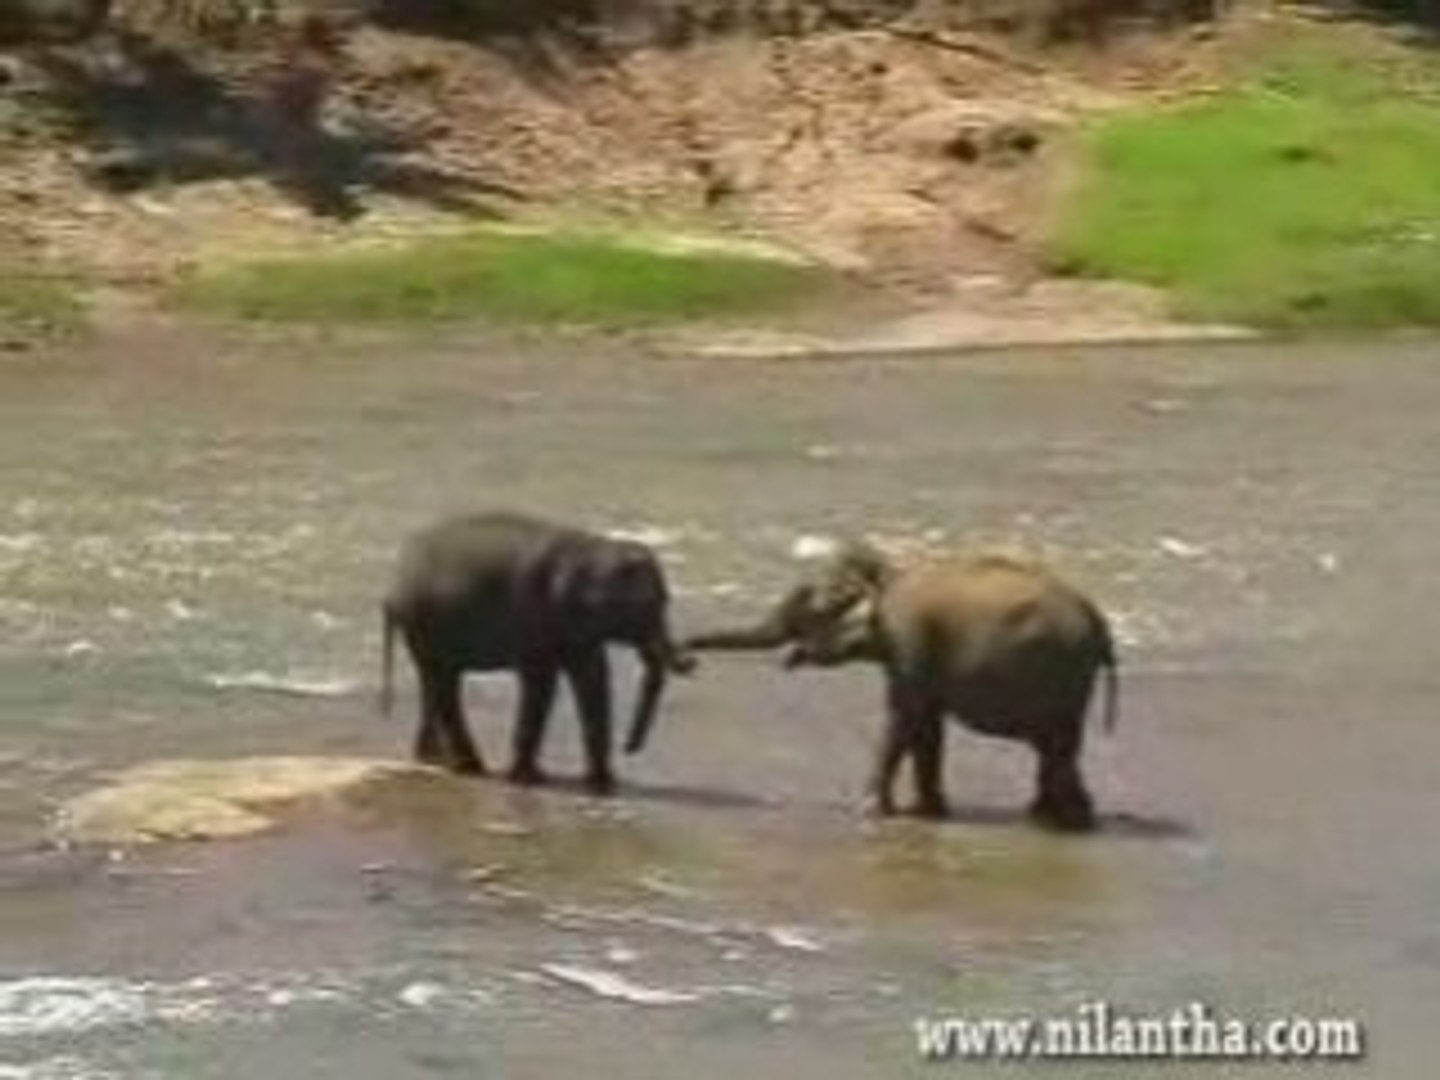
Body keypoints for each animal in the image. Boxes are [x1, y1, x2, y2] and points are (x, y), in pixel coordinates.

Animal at [383, 515, 696, 794]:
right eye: (648, 606)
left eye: (663, 601)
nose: (630, 747)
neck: (592, 547)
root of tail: (394, 584)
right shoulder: (533, 613)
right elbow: (541, 681)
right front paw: (528, 778)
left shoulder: (577, 628)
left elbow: (592, 678)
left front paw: (603, 783)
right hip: (425, 622)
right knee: (445, 684)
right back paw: (471, 767)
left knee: (435, 682)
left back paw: (431, 759)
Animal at [691, 544, 1117, 835]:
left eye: (813, 608)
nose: (687, 653)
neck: (887, 572)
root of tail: (1100, 622)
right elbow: (927, 726)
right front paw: (925, 813)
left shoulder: (907, 634)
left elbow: (904, 716)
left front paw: (869, 810)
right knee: (1056, 748)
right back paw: (1056, 817)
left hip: (1063, 673)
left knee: (1057, 745)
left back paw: (1063, 821)